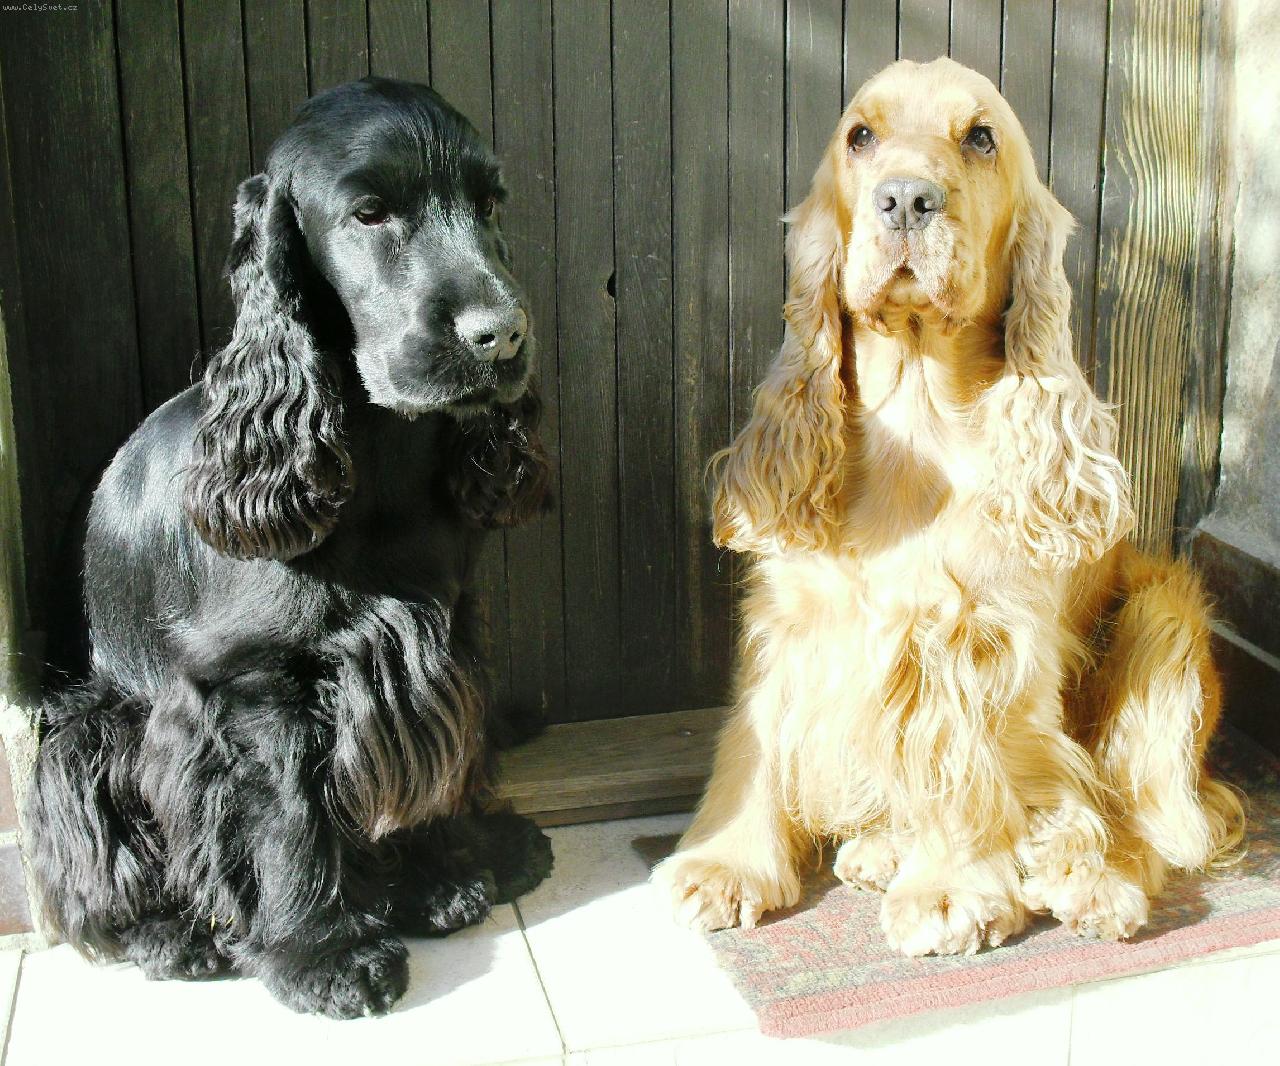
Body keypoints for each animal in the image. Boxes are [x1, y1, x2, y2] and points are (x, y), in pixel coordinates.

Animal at [30, 78, 554, 1016]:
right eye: (369, 212)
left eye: (492, 202)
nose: (502, 333)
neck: (378, 462)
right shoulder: (255, 683)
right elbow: (286, 819)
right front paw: (325, 954)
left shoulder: (440, 633)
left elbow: (440, 753)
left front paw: (442, 877)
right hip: (85, 734)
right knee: (98, 880)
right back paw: (176, 938)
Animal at [654, 58, 1243, 956]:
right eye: (861, 135)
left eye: (981, 138)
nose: (905, 199)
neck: (915, 420)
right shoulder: (792, 624)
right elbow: (753, 743)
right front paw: (726, 863)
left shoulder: (979, 642)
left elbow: (968, 769)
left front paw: (949, 891)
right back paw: (880, 849)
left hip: (1166, 622)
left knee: (1153, 817)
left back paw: (1092, 882)